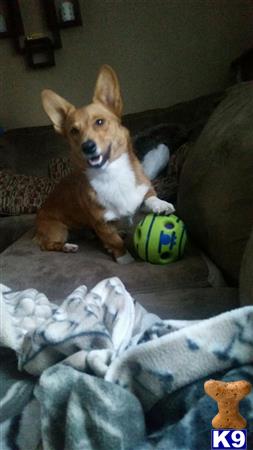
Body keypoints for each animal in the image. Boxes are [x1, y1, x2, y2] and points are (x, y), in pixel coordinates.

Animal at [35, 66, 174, 264]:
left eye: (99, 122)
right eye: (74, 131)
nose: (87, 146)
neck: (111, 174)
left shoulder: (142, 193)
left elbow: (150, 197)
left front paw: (162, 205)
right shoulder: (103, 224)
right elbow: (115, 242)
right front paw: (125, 259)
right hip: (58, 230)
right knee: (48, 246)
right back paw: (69, 247)